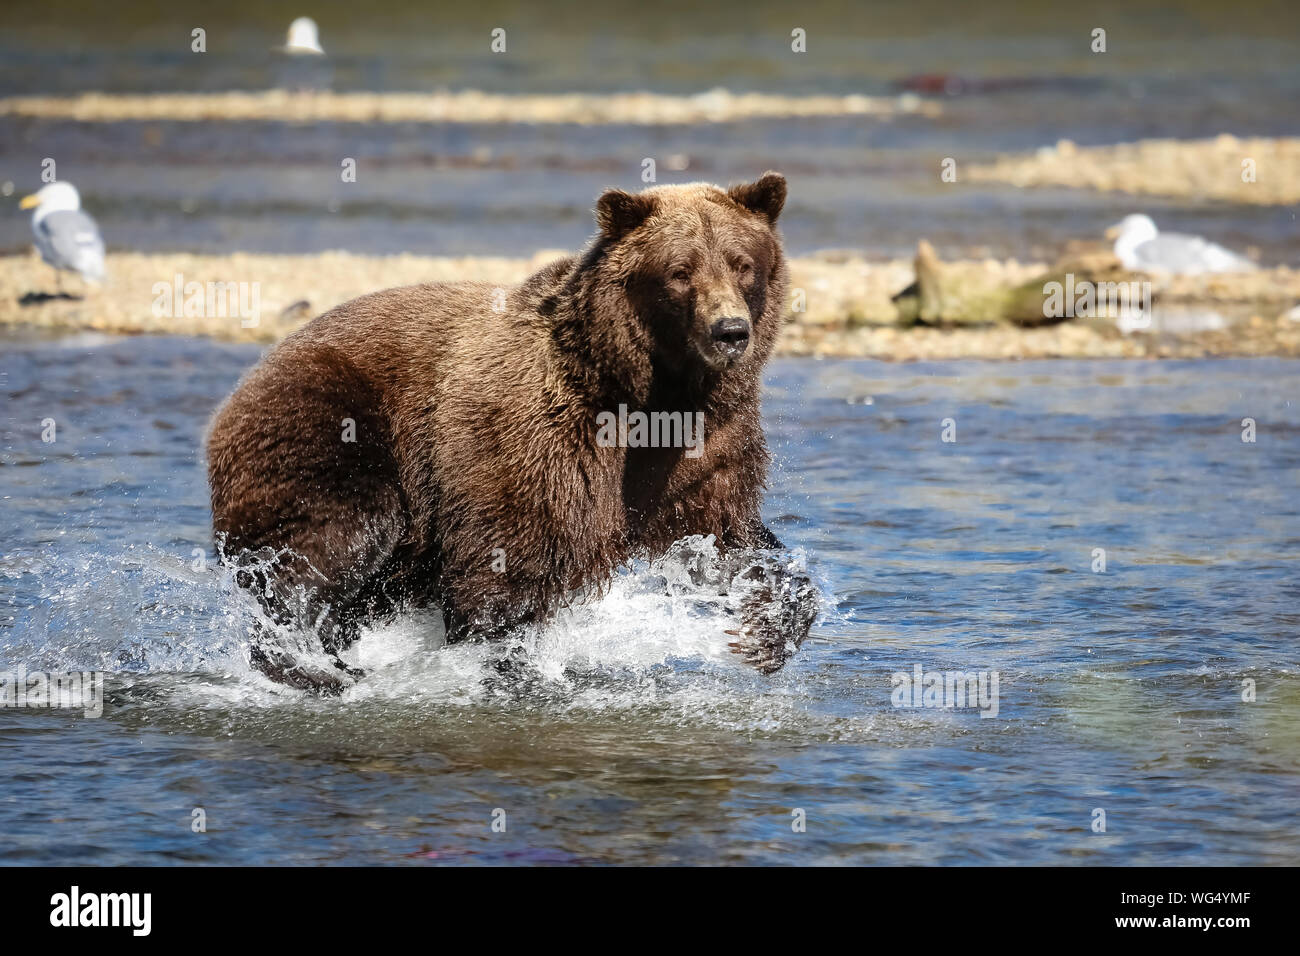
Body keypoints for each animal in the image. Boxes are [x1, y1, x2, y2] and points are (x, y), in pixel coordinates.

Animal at [205, 171, 811, 691]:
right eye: (680, 270)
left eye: (741, 264)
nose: (729, 331)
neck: (646, 391)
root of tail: (245, 382)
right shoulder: (540, 435)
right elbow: (509, 561)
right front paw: (509, 661)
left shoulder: (701, 446)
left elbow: (721, 536)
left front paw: (767, 629)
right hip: (326, 425)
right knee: (333, 539)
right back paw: (308, 664)